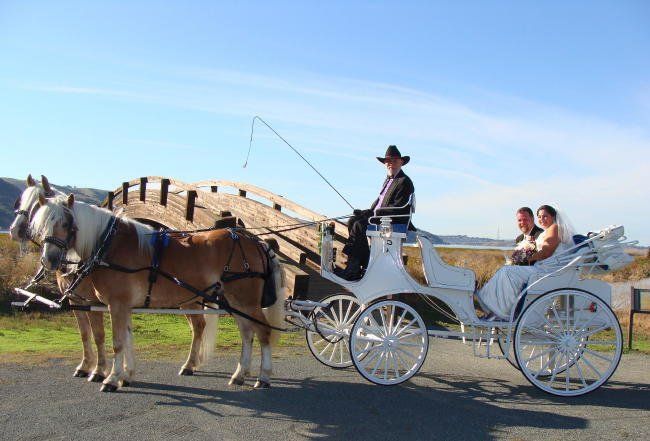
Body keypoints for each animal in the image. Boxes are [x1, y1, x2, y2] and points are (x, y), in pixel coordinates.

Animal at [31, 193, 287, 392]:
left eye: (66, 224)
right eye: (42, 225)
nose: (49, 259)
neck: (109, 245)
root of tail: (256, 242)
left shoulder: (116, 304)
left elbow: (117, 342)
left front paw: (111, 379)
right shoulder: (122, 306)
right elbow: (126, 339)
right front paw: (126, 376)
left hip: (246, 301)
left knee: (262, 332)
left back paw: (263, 377)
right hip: (234, 302)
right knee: (246, 333)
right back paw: (239, 374)